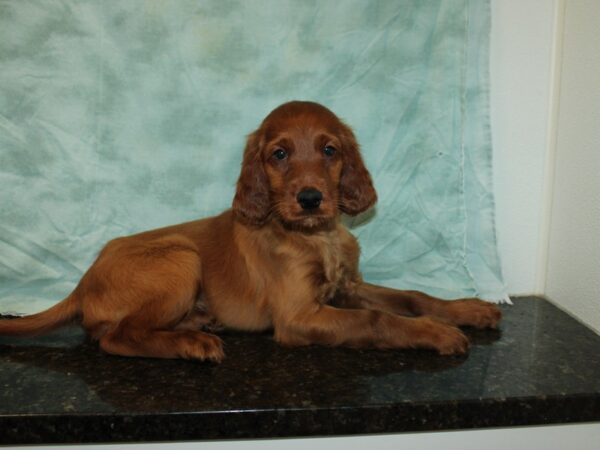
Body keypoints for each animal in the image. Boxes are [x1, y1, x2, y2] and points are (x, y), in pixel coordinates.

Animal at [0, 100, 502, 360]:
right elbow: (379, 320)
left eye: (330, 150)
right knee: (114, 336)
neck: (316, 236)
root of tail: (83, 281)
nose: (310, 198)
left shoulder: (347, 288)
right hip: (181, 258)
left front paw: (468, 309)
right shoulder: (300, 315)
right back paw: (192, 341)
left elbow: (411, 297)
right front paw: (438, 333)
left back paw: (200, 321)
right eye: (279, 154)